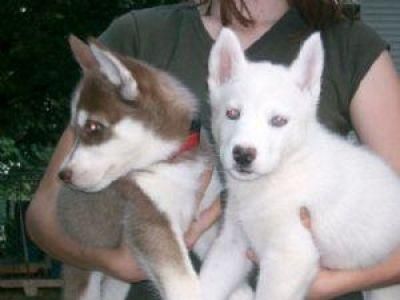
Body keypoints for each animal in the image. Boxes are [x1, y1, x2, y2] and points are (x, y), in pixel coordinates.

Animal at [55, 36, 220, 300]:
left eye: (93, 127)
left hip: (116, 281)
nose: (63, 175)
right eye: (74, 130)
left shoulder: (202, 218)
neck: (169, 161)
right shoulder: (150, 218)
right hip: (83, 271)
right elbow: (184, 285)